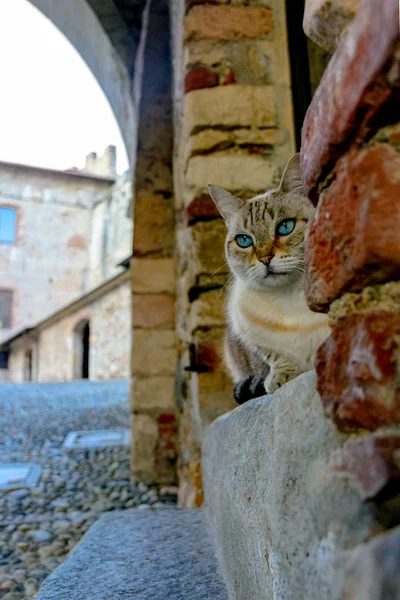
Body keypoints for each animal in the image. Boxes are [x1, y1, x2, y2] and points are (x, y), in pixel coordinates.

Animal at [208, 155, 330, 406]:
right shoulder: (248, 334)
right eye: (244, 240)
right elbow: (275, 356)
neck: (289, 300)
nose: (265, 259)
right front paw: (280, 377)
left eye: (285, 227)